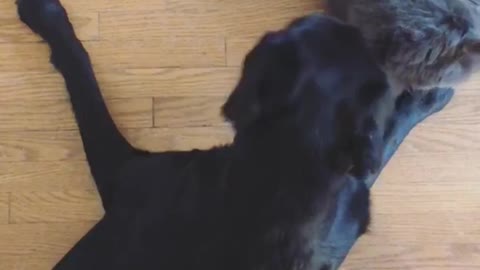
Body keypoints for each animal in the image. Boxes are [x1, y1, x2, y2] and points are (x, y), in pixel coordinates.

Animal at [14, 1, 450, 268]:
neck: (296, 162)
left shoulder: (125, 171)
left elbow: (80, 72)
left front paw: (44, 14)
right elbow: (384, 142)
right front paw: (430, 96)